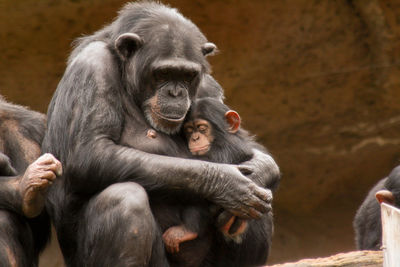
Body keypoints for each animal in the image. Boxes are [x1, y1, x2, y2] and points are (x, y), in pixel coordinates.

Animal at [40, 2, 278, 267]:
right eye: (163, 73)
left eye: (187, 75)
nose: (175, 93)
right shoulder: (92, 67)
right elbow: (89, 151)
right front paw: (227, 183)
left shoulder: (208, 84)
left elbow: (245, 143)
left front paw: (260, 170)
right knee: (125, 199)